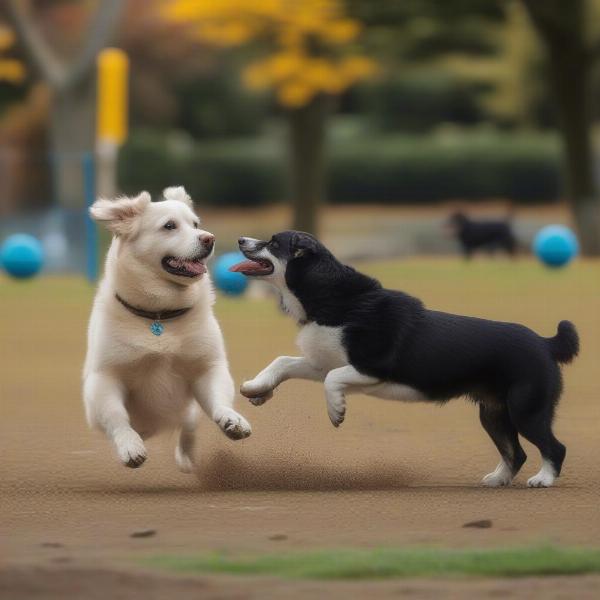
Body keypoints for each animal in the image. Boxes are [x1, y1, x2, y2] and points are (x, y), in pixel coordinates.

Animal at [81, 185, 250, 472]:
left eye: (196, 224)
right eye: (169, 226)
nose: (209, 239)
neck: (159, 316)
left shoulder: (207, 368)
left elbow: (218, 400)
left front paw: (231, 420)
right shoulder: (105, 378)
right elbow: (117, 417)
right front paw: (130, 446)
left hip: (187, 412)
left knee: (188, 427)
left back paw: (186, 459)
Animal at [232, 230, 580, 488]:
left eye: (273, 243)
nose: (240, 240)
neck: (336, 299)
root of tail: (545, 343)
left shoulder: (370, 368)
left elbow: (332, 380)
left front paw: (337, 411)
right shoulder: (322, 361)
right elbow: (283, 361)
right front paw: (257, 389)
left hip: (526, 408)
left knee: (555, 447)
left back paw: (543, 479)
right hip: (493, 413)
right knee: (516, 452)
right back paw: (498, 479)